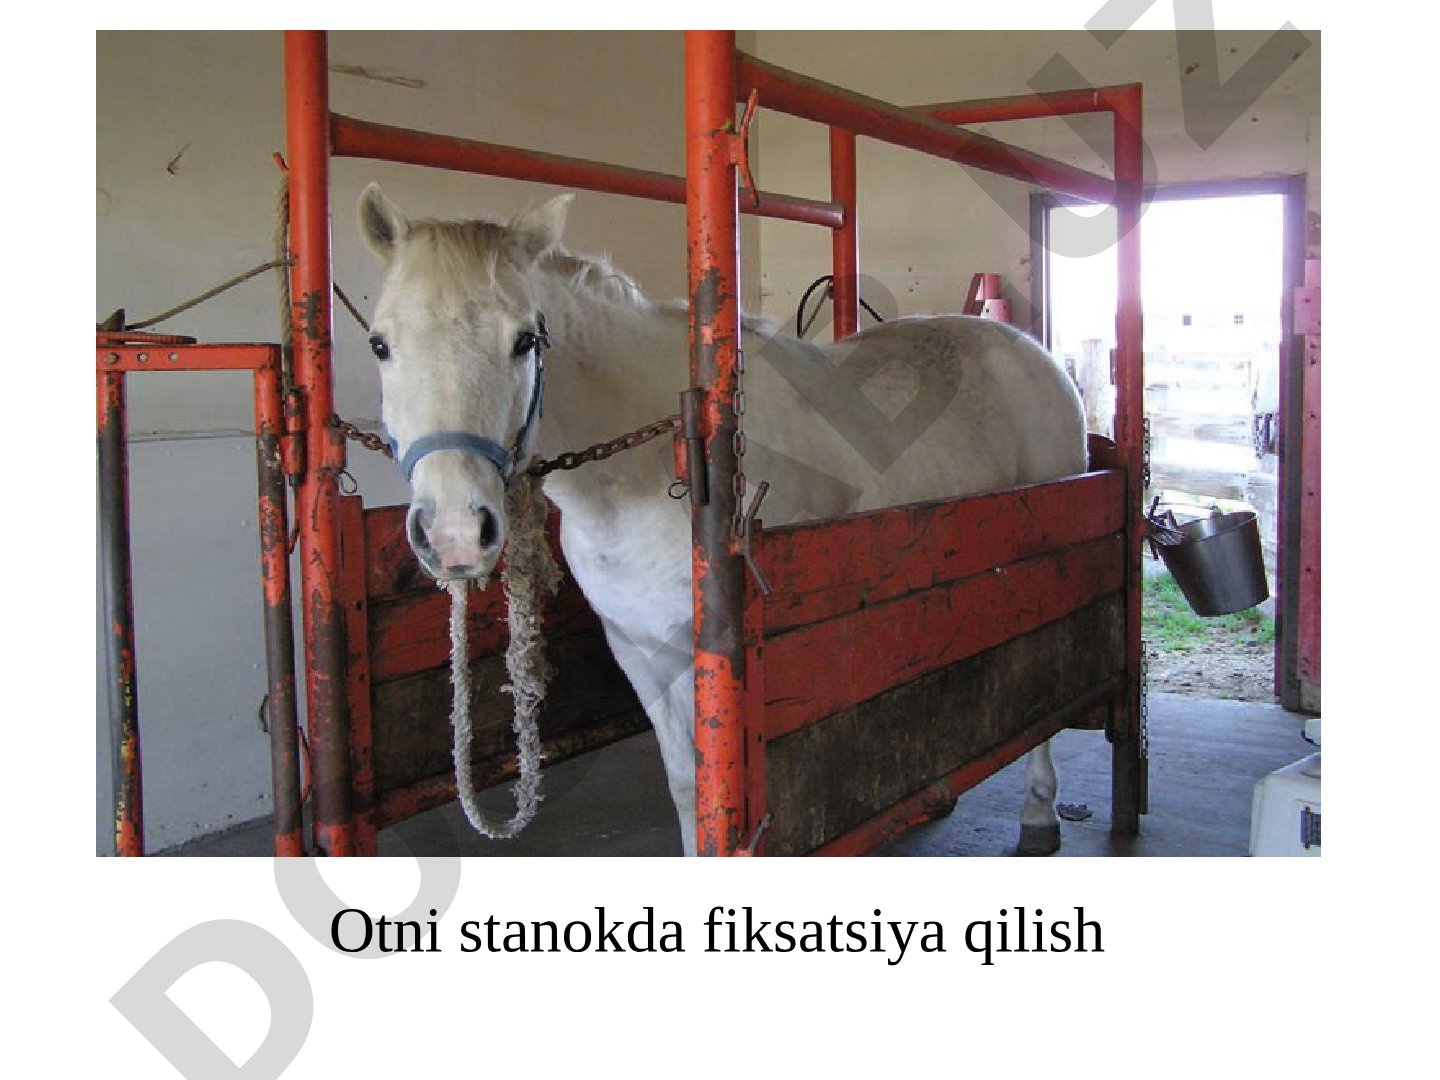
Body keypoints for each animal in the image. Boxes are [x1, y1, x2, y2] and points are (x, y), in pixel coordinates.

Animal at [357, 184, 1088, 857]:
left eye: (524, 340)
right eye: (380, 344)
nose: (455, 532)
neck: (655, 468)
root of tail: (1028, 350)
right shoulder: (642, 651)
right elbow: (690, 790)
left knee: (1043, 690)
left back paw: (1039, 814)